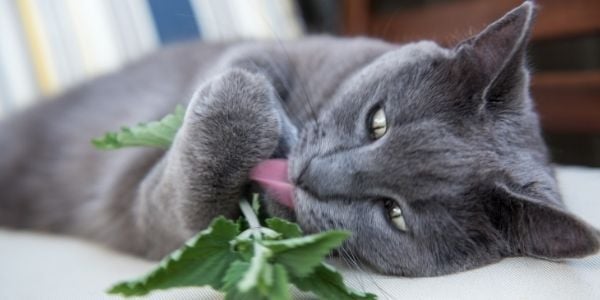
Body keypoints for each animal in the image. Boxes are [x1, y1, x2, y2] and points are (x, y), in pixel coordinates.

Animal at [0, 1, 596, 276]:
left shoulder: (152, 218)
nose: (309, 175)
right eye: (378, 121)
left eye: (395, 214)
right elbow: (242, 62)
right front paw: (259, 104)